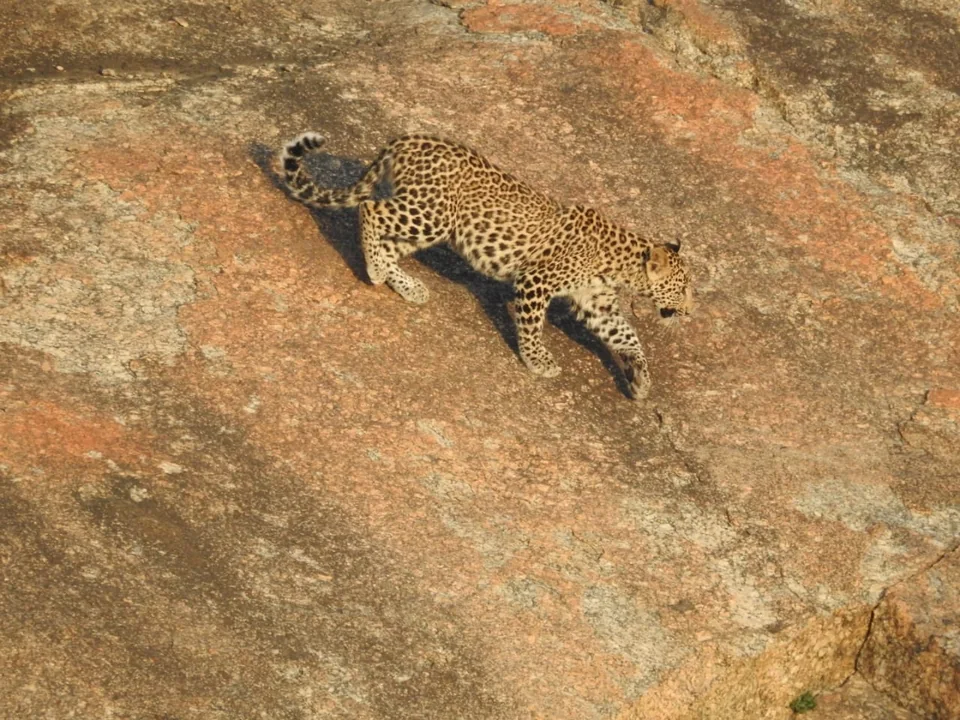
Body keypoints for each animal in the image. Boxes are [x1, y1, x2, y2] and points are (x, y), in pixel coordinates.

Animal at [280, 132, 693, 399]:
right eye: (685, 287)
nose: (690, 313)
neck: (622, 262)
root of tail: (408, 138)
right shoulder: (536, 281)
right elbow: (532, 326)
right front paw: (537, 360)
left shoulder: (597, 304)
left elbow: (628, 336)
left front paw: (641, 379)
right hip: (431, 213)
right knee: (370, 209)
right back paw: (376, 270)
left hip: (431, 225)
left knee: (391, 244)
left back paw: (408, 285)